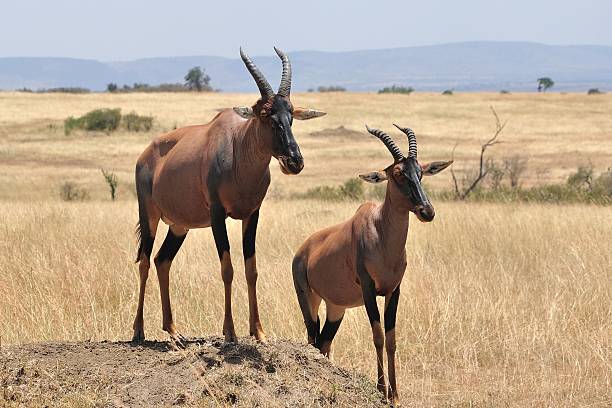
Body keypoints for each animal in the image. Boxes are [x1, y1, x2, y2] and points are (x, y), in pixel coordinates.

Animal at [132, 49, 328, 346]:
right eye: (265, 114)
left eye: (291, 114)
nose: (294, 161)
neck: (237, 146)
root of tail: (146, 154)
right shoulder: (217, 216)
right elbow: (227, 269)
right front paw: (230, 332)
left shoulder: (252, 214)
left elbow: (251, 270)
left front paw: (259, 331)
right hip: (150, 214)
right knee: (144, 261)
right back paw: (138, 331)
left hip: (180, 226)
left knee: (161, 261)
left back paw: (174, 331)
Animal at [292, 123, 454, 402]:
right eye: (398, 173)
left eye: (421, 171)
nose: (427, 211)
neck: (380, 232)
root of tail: (303, 249)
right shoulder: (369, 289)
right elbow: (378, 336)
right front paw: (381, 390)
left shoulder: (393, 291)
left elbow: (391, 339)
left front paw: (395, 395)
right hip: (308, 299)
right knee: (312, 337)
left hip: (336, 308)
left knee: (324, 341)